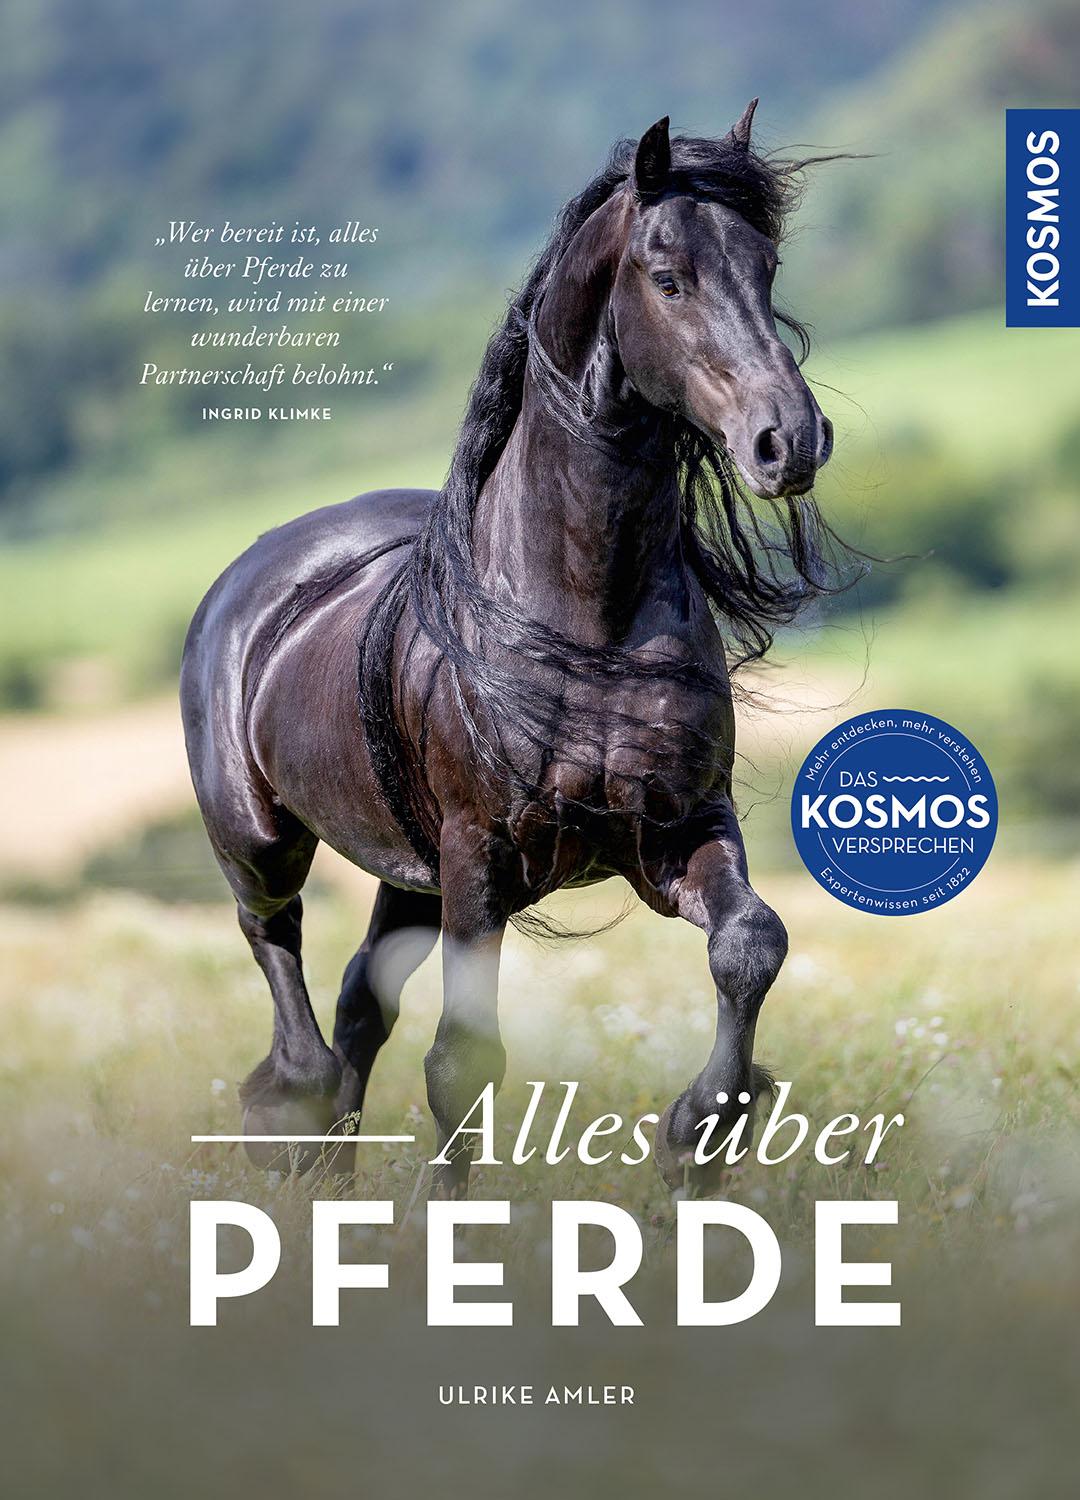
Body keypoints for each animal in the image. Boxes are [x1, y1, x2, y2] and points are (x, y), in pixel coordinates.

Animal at [181, 104, 842, 1198]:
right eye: (669, 277)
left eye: (769, 264)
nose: (788, 442)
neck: (588, 621)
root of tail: (258, 569)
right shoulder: (480, 858)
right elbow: (463, 1058)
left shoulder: (677, 829)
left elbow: (752, 942)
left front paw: (701, 1131)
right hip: (264, 840)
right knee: (280, 954)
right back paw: (292, 1119)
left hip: (406, 875)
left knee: (361, 1002)